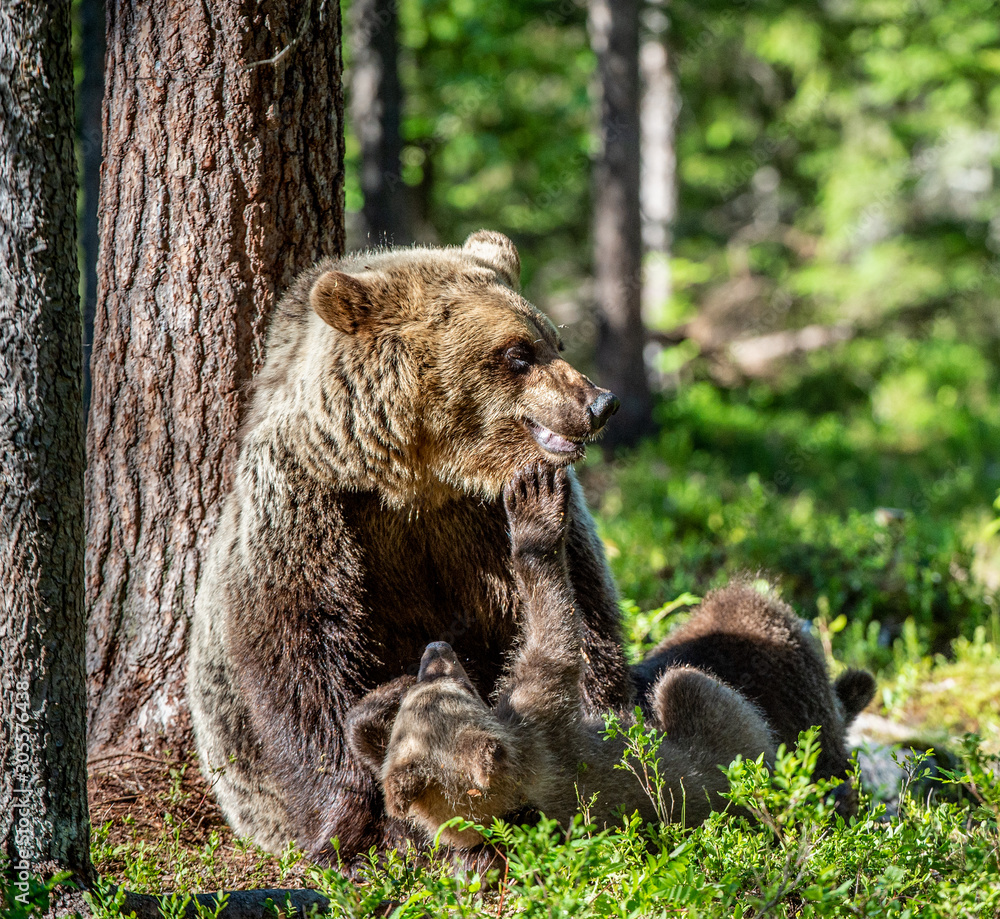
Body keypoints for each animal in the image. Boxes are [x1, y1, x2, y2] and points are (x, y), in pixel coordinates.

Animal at [186, 232, 633, 866]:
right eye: (518, 353)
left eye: (555, 339)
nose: (600, 402)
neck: (420, 476)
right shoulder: (308, 511)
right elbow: (302, 666)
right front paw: (352, 832)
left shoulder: (482, 519)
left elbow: (581, 618)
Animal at [347, 465, 776, 848]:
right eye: (461, 691)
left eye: (445, 684)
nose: (436, 650)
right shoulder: (541, 731)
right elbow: (555, 638)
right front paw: (534, 511)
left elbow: (372, 752)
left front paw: (380, 699)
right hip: (722, 743)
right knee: (686, 685)